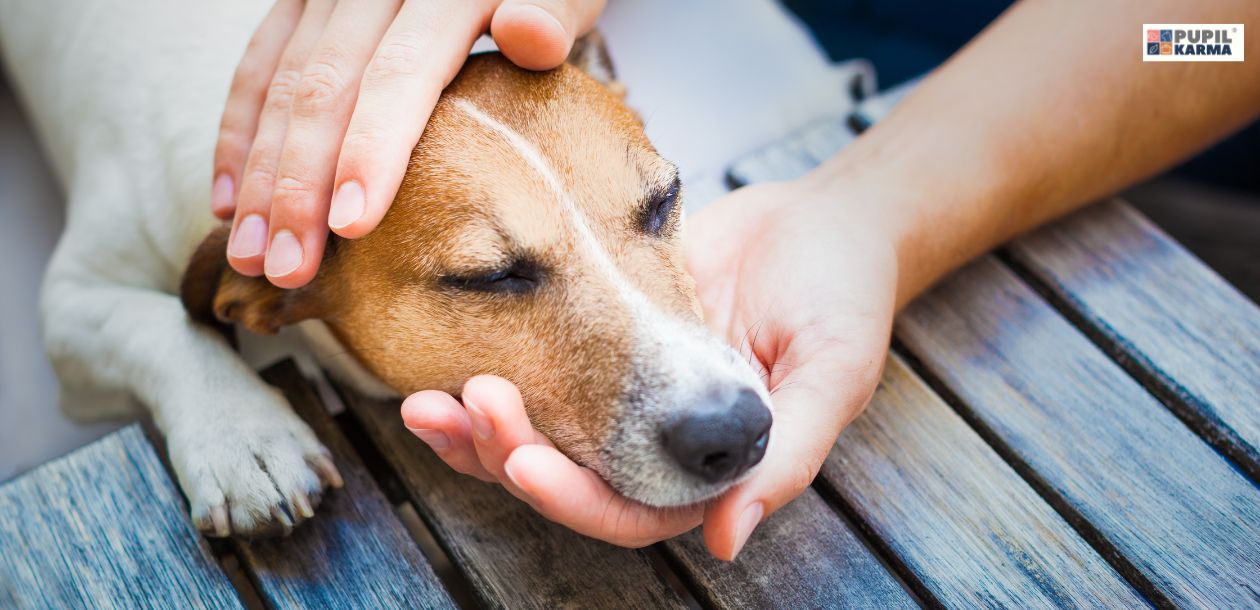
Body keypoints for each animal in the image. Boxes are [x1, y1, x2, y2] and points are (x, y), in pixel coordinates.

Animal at [0, 0, 771, 534]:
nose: (734, 431)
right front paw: (243, 437)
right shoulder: (71, 303)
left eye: (664, 200)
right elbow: (159, 325)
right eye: (490, 277)